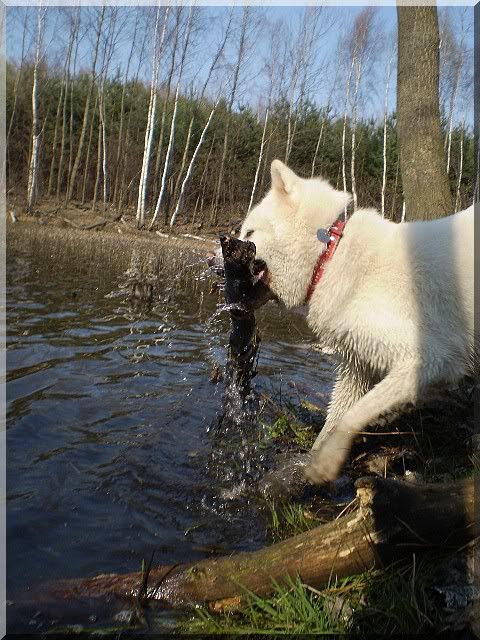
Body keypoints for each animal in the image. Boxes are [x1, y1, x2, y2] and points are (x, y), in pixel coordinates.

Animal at [237, 159, 475, 486]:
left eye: (249, 232)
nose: (213, 259)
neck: (329, 256)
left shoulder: (431, 358)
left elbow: (351, 417)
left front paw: (326, 463)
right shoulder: (357, 367)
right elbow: (334, 419)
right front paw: (310, 462)